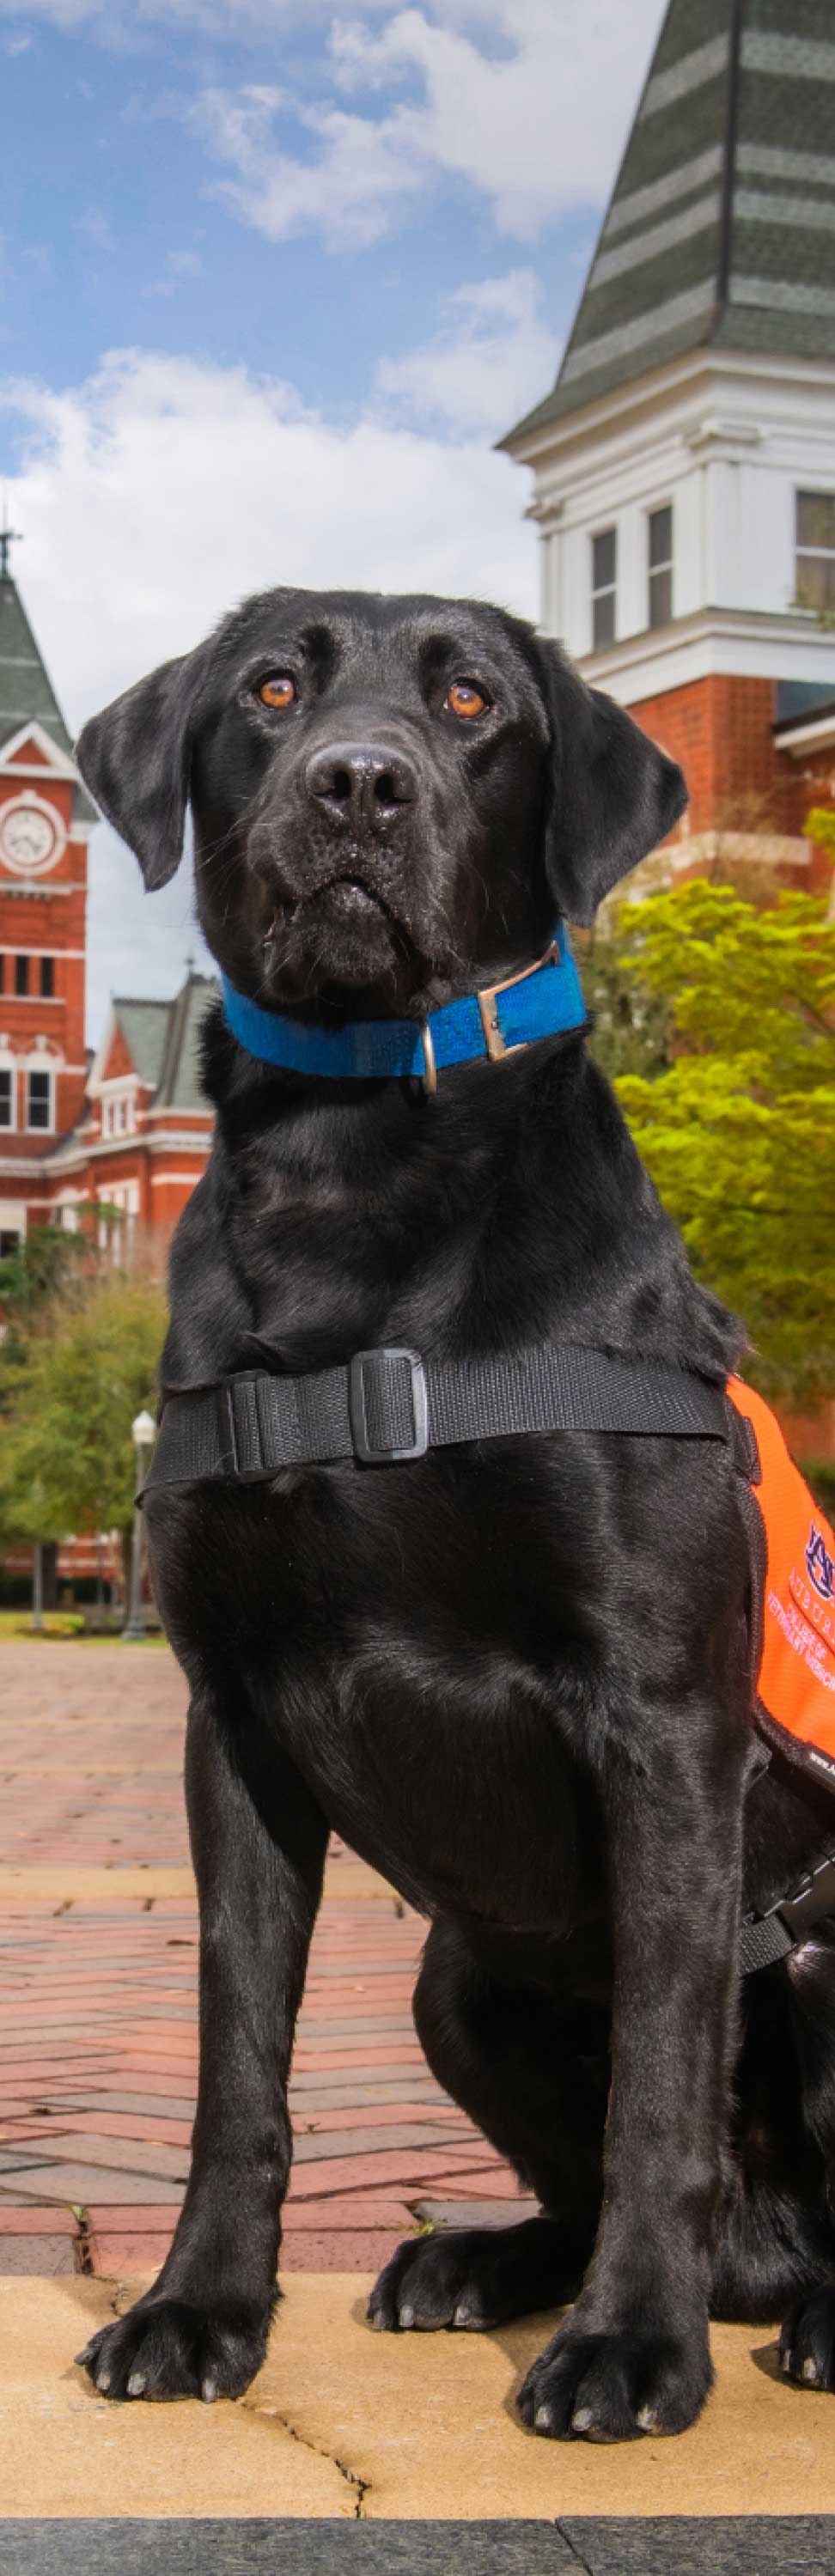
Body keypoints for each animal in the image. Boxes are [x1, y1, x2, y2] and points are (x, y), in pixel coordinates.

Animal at [73, 584, 835, 2432]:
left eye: (474, 699)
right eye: (275, 687)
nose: (359, 783)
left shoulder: (661, 1717)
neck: (358, 1159)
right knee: (591, 2181)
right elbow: (237, 2061)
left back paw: (795, 2318)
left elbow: (661, 2073)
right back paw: (481, 2259)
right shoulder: (236, 1723)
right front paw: (199, 2306)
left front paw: (634, 2348)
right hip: (458, 1975)